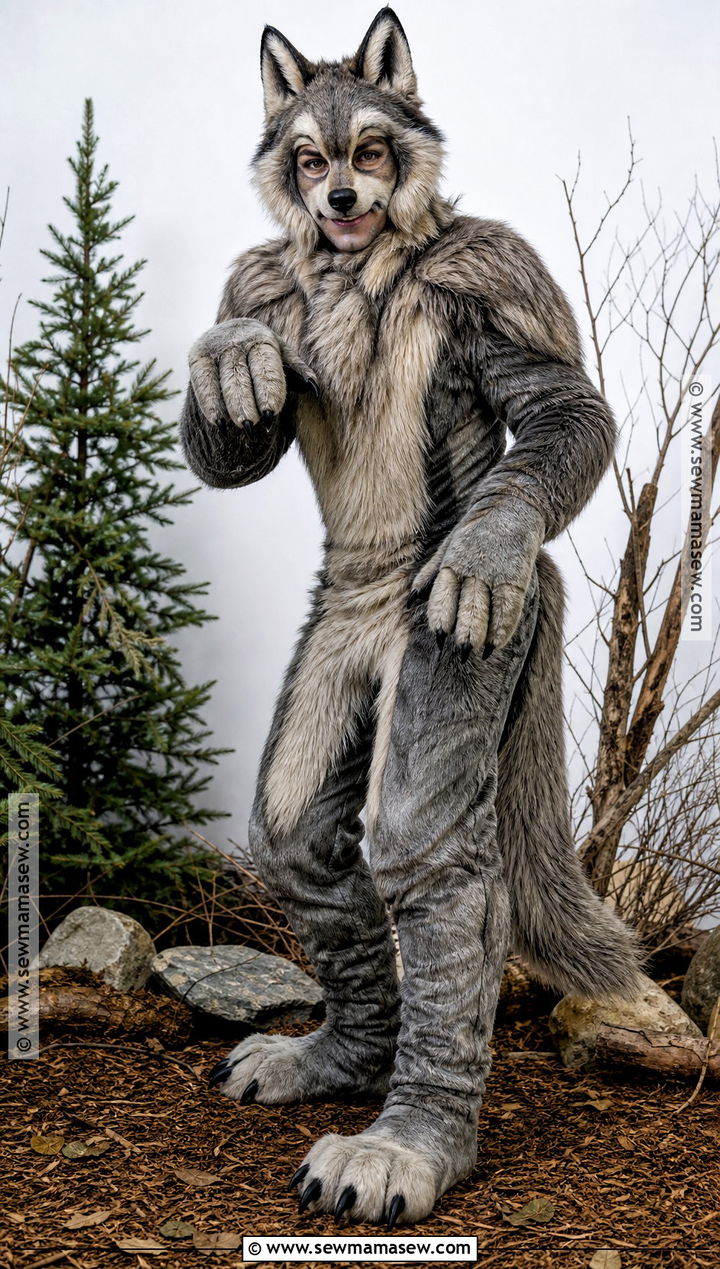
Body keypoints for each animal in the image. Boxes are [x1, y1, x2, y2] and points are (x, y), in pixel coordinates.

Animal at [179, 8, 642, 1228]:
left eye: (372, 148)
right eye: (308, 157)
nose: (341, 199)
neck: (356, 272)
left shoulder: (496, 284)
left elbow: (566, 409)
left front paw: (483, 543)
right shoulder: (263, 295)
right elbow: (238, 427)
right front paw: (228, 367)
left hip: (456, 664)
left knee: (427, 864)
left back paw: (412, 1141)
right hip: (333, 672)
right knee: (298, 839)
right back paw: (349, 1056)